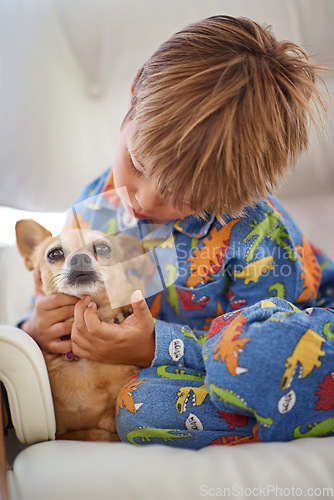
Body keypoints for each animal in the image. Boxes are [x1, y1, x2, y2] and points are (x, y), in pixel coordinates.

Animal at [14, 219, 153, 442]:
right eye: (54, 253)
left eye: (103, 248)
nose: (80, 258)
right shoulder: (59, 434)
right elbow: (96, 433)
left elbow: (107, 421)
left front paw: (108, 419)